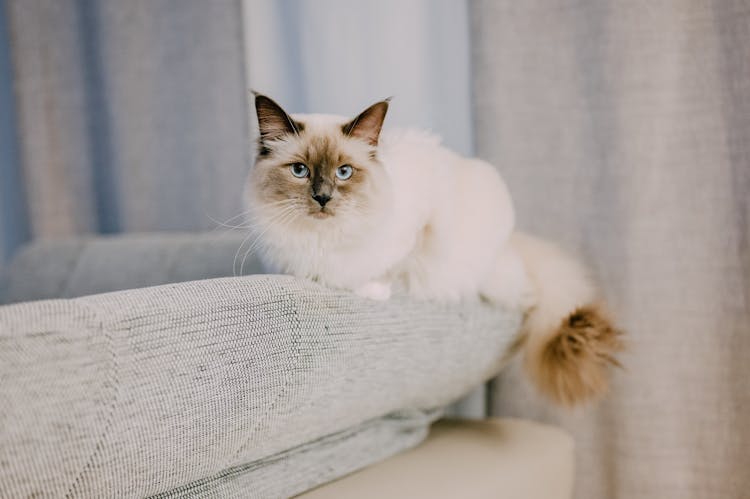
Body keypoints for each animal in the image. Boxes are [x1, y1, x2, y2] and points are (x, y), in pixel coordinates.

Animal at [245, 93, 624, 406]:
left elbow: (387, 266)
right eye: (299, 170)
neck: (320, 240)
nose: (323, 198)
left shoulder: (418, 226)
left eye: (344, 172)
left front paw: (376, 289)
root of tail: (513, 243)